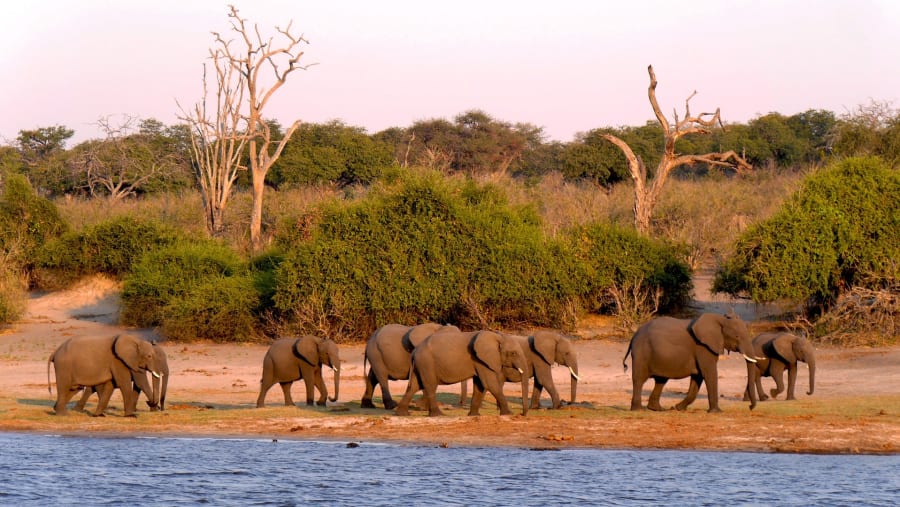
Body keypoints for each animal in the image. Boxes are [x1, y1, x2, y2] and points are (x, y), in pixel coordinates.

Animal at [395, 329, 529, 417]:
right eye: (513, 353)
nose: (522, 414)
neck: (497, 336)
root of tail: (415, 351)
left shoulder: (480, 361)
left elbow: (480, 386)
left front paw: (474, 415)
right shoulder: (480, 359)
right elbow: (490, 384)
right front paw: (508, 414)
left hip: (420, 364)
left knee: (414, 387)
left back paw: (402, 414)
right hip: (426, 363)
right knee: (430, 386)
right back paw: (438, 415)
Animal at [622, 312, 761, 413]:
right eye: (737, 336)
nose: (750, 407)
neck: (720, 319)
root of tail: (634, 336)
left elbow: (697, 378)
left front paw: (677, 408)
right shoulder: (703, 347)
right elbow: (709, 374)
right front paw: (717, 412)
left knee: (661, 380)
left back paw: (658, 409)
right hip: (642, 353)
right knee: (639, 379)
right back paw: (638, 410)